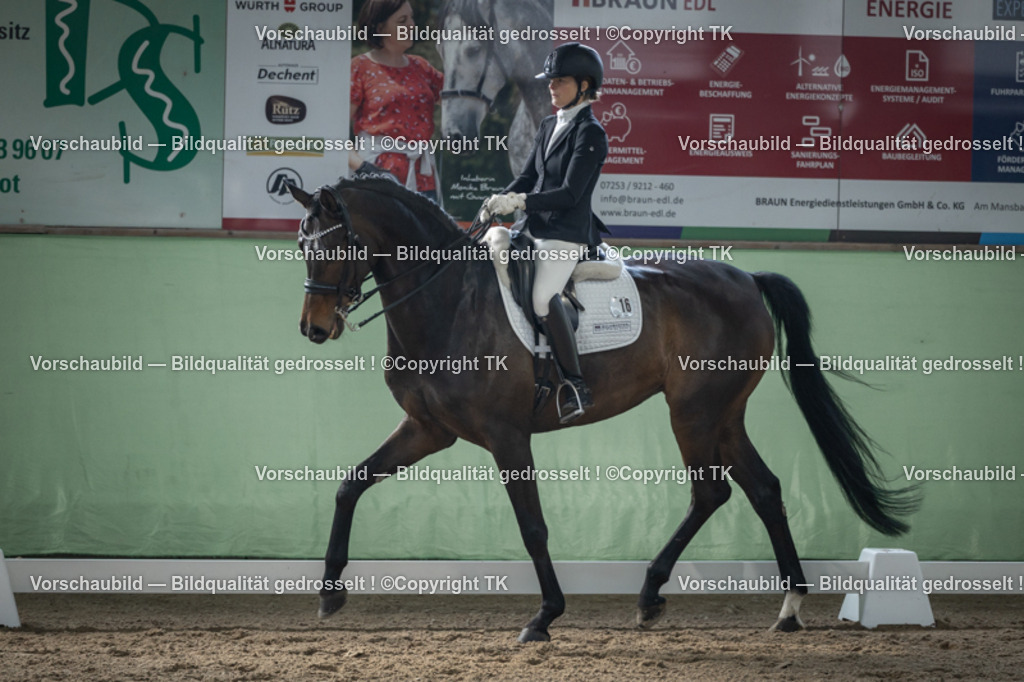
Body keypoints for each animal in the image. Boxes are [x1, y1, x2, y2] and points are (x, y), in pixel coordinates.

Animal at [288, 178, 918, 643]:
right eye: (301, 247)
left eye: (337, 245)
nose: (314, 329)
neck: (449, 300)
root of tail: (744, 276)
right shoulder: (428, 429)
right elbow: (350, 484)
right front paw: (329, 592)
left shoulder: (506, 435)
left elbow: (533, 526)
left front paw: (545, 616)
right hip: (724, 413)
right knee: (762, 489)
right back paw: (786, 608)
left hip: (693, 411)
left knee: (712, 492)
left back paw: (651, 596)